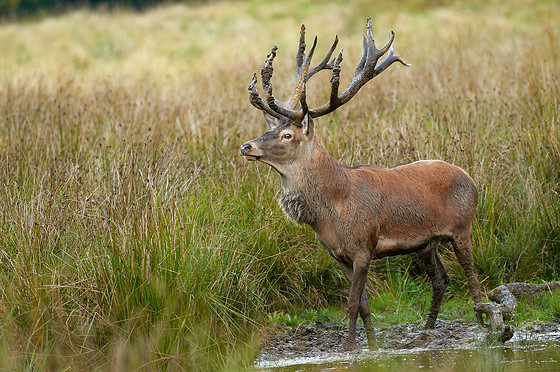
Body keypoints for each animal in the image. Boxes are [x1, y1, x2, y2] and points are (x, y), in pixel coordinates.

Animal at [240, 17, 486, 348]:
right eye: (269, 130)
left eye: (287, 135)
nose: (246, 146)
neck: (331, 211)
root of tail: (470, 179)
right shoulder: (337, 255)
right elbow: (365, 304)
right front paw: (372, 344)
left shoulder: (363, 245)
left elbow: (352, 302)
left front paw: (350, 347)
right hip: (426, 242)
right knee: (441, 279)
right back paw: (426, 332)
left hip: (462, 226)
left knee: (472, 276)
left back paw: (483, 326)